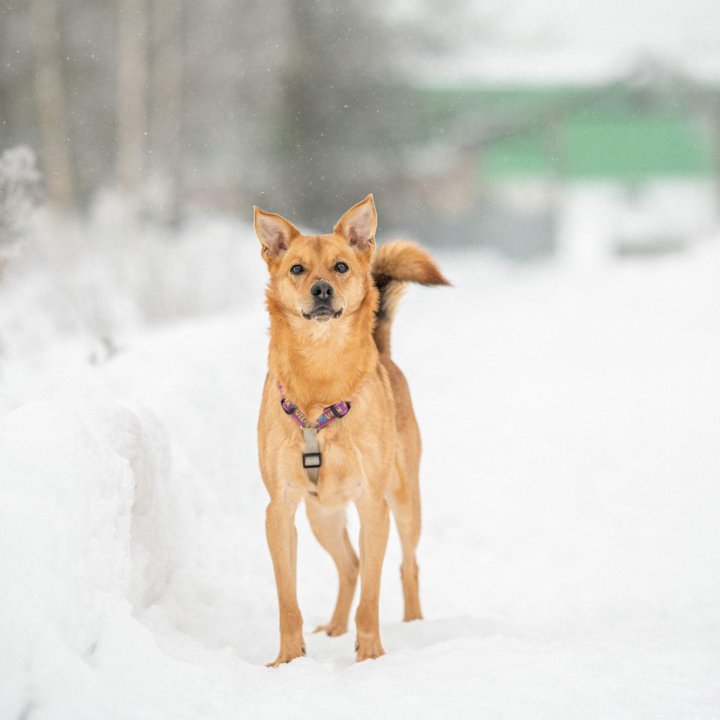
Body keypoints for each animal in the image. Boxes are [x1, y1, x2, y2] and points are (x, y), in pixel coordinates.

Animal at [252, 194, 444, 668]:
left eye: (340, 266)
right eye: (297, 269)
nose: (321, 289)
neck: (321, 375)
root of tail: (383, 353)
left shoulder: (373, 506)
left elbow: (372, 597)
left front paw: (371, 653)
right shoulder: (280, 510)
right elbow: (288, 601)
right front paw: (289, 660)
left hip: (404, 501)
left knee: (406, 564)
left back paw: (413, 622)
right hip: (321, 515)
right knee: (350, 564)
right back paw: (336, 628)